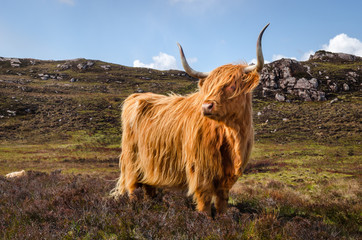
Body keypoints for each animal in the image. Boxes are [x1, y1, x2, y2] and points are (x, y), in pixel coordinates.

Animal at [111, 24, 270, 216]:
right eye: (208, 87)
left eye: (232, 85)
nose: (206, 106)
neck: (232, 135)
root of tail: (135, 96)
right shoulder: (201, 169)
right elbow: (205, 200)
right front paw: (204, 219)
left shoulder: (227, 176)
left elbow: (222, 201)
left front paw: (224, 220)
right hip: (132, 161)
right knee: (133, 189)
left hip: (150, 166)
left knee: (149, 189)